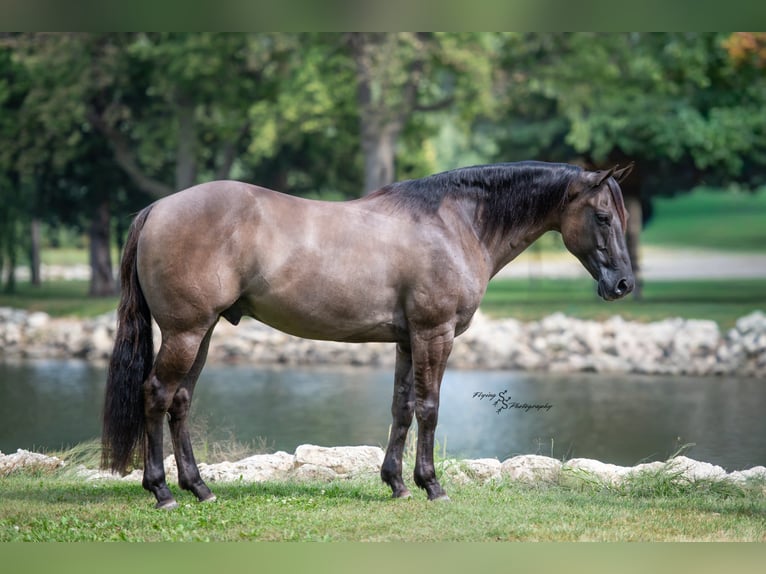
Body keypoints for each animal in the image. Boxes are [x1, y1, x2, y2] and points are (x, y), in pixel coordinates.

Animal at [102, 160, 634, 509]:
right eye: (603, 216)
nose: (623, 285)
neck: (453, 223)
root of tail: (156, 209)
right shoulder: (435, 334)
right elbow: (429, 408)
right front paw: (432, 485)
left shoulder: (407, 340)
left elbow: (402, 407)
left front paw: (396, 483)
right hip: (186, 332)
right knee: (156, 395)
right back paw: (162, 491)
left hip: (203, 333)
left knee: (180, 401)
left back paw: (200, 488)